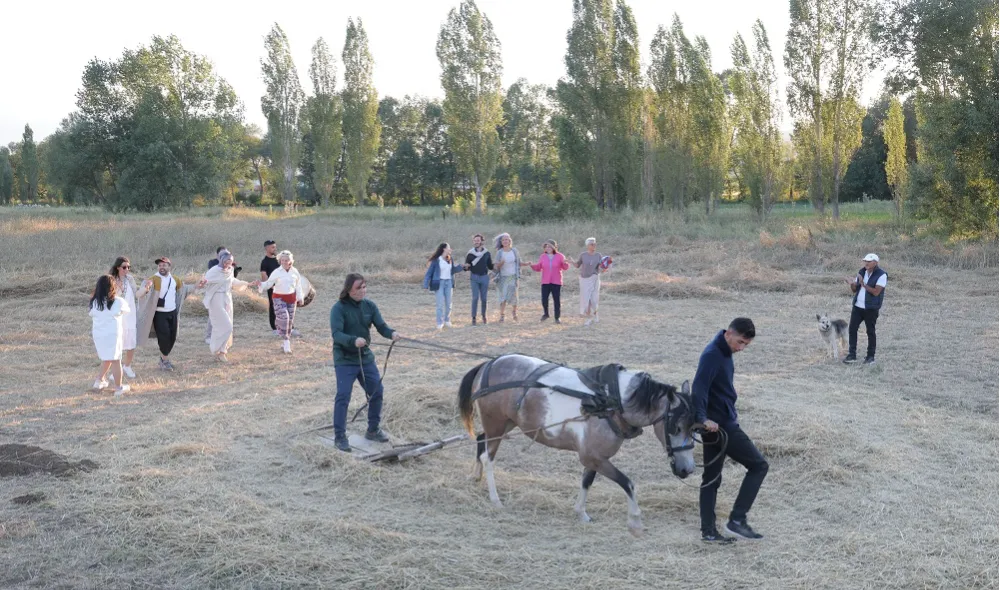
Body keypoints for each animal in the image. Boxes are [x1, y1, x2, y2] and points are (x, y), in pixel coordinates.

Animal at [458, 354, 700, 540]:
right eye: (676, 427)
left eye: (694, 428)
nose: (687, 469)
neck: (611, 402)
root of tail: (489, 364)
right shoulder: (594, 457)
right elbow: (627, 483)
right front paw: (635, 522)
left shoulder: (593, 457)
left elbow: (587, 481)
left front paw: (581, 513)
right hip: (496, 425)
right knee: (488, 457)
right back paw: (495, 498)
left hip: (504, 424)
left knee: (480, 440)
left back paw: (475, 476)